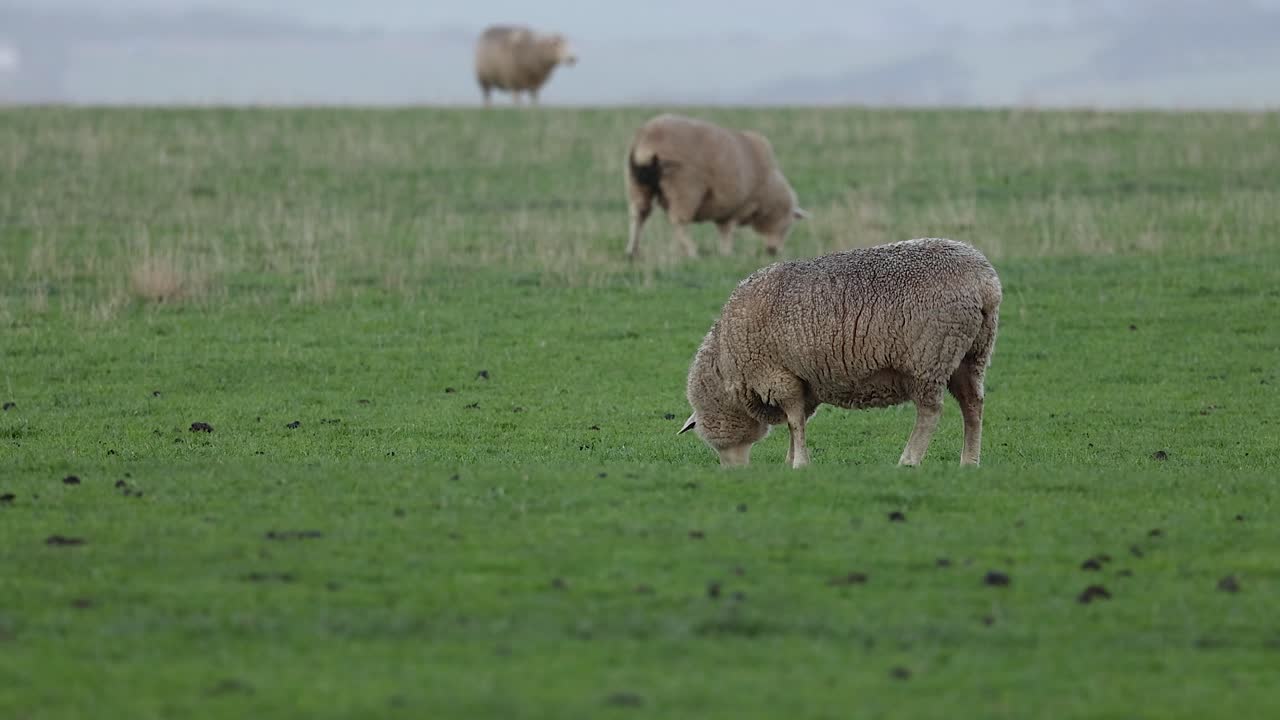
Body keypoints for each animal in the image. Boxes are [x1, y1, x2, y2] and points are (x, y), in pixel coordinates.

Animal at [625, 113, 810, 259]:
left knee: (638, 215)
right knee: (678, 221)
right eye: (787, 226)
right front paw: (727, 253)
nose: (773, 251)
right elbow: (727, 231)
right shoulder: (733, 206)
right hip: (684, 187)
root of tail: (648, 140)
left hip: (638, 184)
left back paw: (632, 251)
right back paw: (692, 252)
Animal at [678, 237, 1002, 469]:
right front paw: (790, 461)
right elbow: (797, 423)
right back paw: (969, 462)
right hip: (969, 354)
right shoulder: (803, 382)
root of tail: (986, 283)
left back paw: (909, 460)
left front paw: (798, 464)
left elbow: (794, 422)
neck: (726, 362)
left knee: (930, 412)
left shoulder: (778, 376)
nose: (733, 473)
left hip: (929, 355)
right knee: (973, 405)